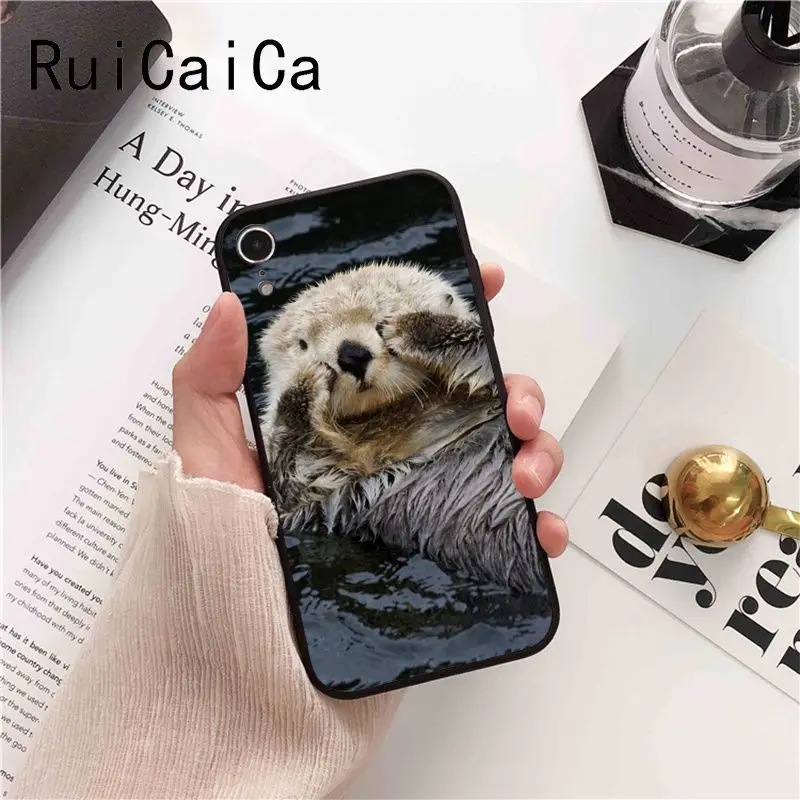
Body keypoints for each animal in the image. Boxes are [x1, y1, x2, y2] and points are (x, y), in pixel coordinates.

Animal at [258, 261, 544, 593]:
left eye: (381, 318)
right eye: (303, 343)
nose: (351, 354)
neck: (393, 415)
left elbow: (479, 341)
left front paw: (415, 328)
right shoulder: (313, 495)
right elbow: (292, 478)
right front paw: (304, 386)